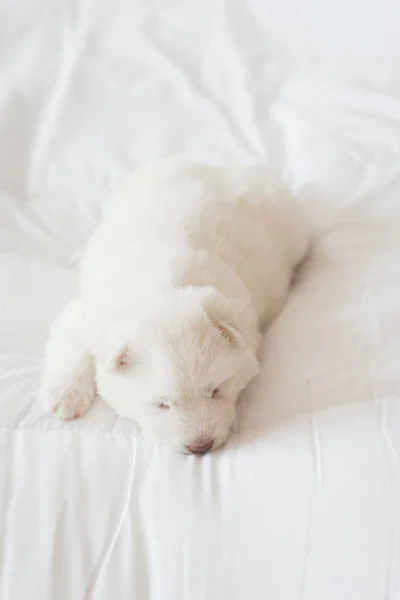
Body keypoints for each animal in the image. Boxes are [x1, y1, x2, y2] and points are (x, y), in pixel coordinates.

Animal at [39, 157, 310, 452]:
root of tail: (209, 167)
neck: (162, 291)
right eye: (161, 404)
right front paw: (65, 396)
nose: (200, 447)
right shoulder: (84, 316)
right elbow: (70, 344)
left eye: (216, 389)